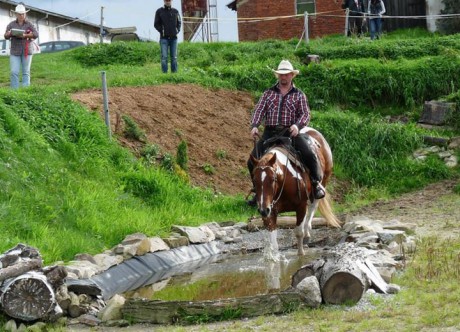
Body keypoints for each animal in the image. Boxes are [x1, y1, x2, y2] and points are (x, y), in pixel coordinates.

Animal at [248, 126, 342, 256]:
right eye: (254, 180)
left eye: (273, 179)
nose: (263, 210)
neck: (284, 182)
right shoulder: (270, 212)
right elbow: (273, 243)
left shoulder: (300, 206)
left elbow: (298, 233)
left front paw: (301, 254)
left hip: (323, 181)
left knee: (312, 207)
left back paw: (307, 233)